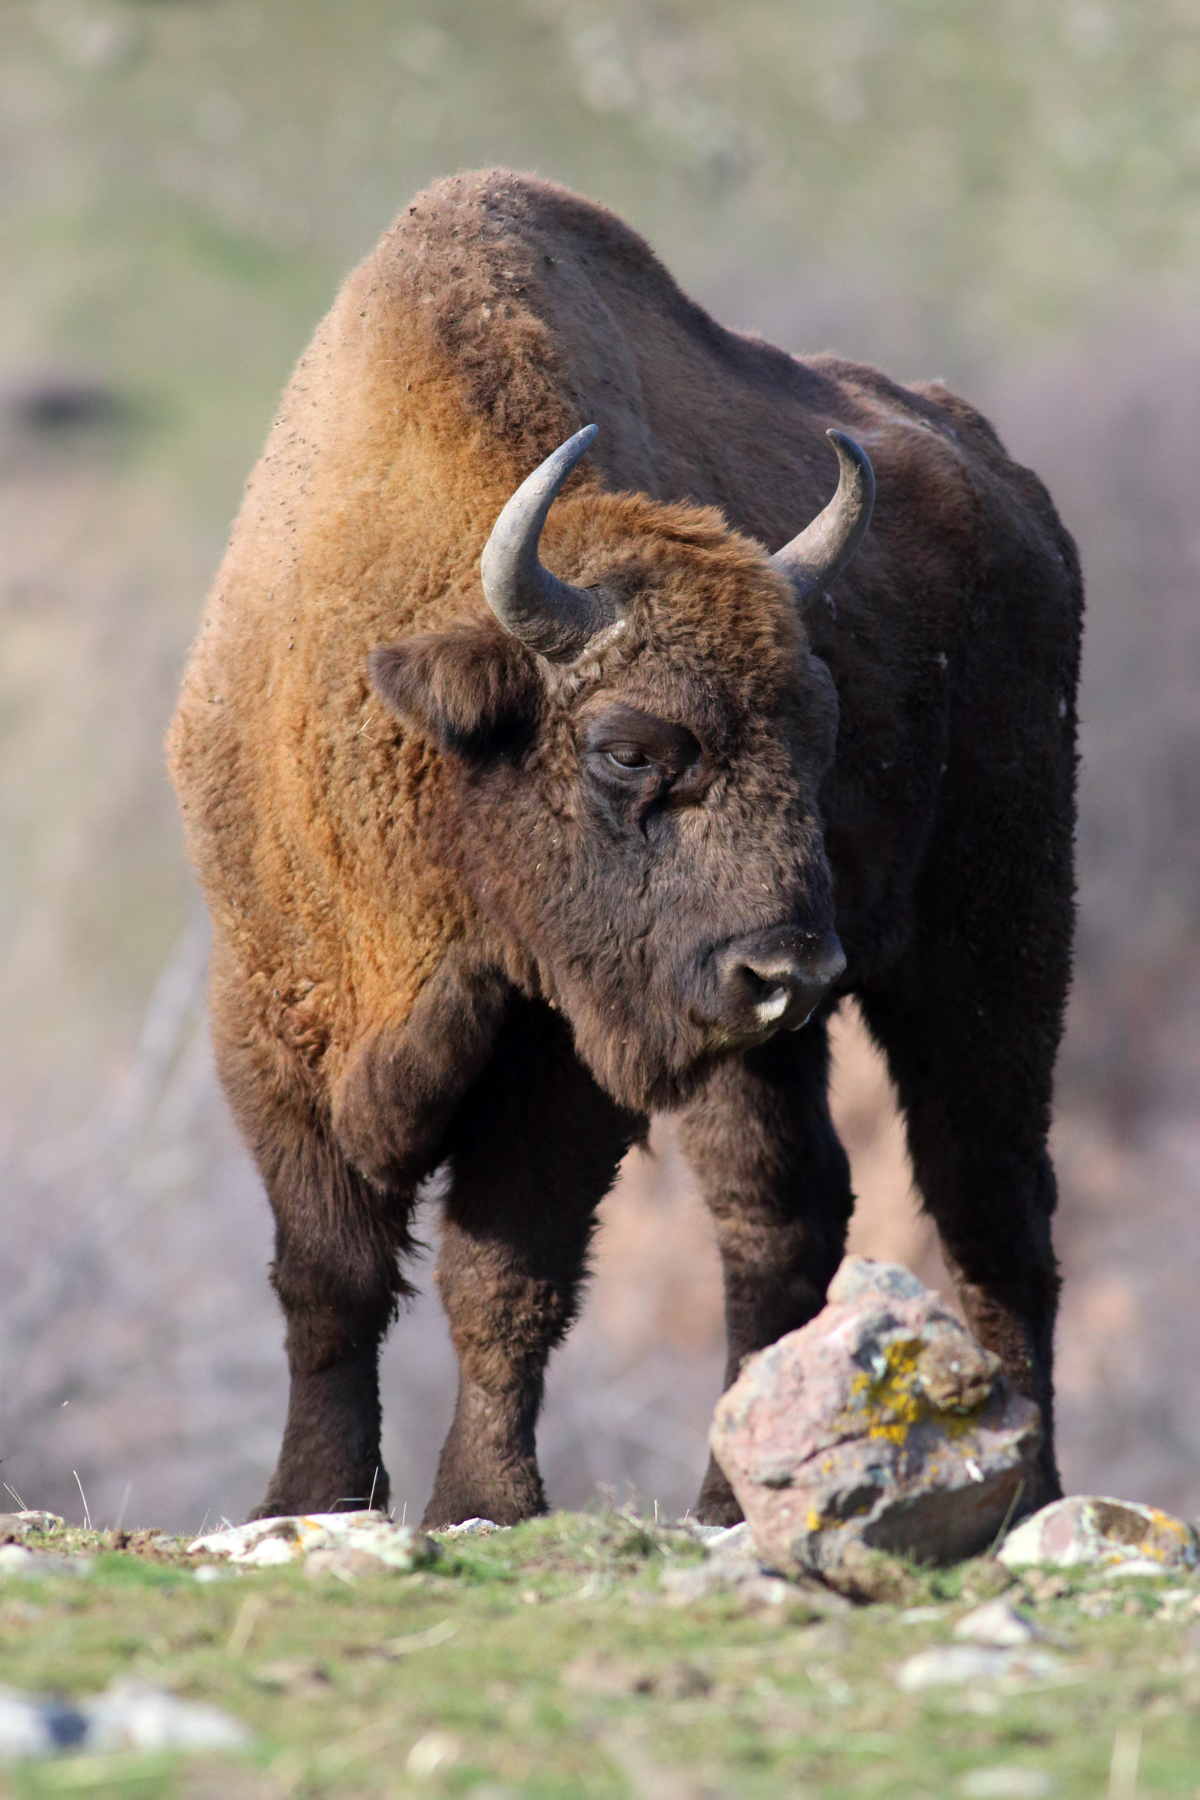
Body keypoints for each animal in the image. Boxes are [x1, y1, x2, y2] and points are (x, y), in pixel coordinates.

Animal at [168, 169, 1081, 1527]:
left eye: (822, 736)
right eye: (628, 751)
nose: (790, 971)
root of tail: (1017, 496)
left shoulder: (567, 1056)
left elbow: (502, 1277)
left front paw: (483, 1501)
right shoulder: (271, 1021)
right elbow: (330, 1279)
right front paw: (310, 1497)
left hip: (993, 942)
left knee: (989, 1199)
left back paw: (1031, 1490)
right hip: (753, 1038)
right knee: (786, 1210)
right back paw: (727, 1499)